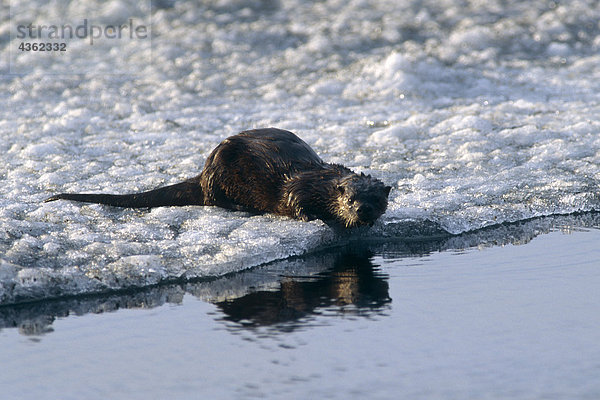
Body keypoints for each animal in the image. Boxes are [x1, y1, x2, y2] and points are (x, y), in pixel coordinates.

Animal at [48, 128, 394, 228]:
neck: (322, 182)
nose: (363, 210)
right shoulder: (299, 185)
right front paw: (312, 217)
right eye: (351, 199)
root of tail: (203, 171)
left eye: (376, 199)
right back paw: (242, 207)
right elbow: (294, 201)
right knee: (216, 200)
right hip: (220, 175)